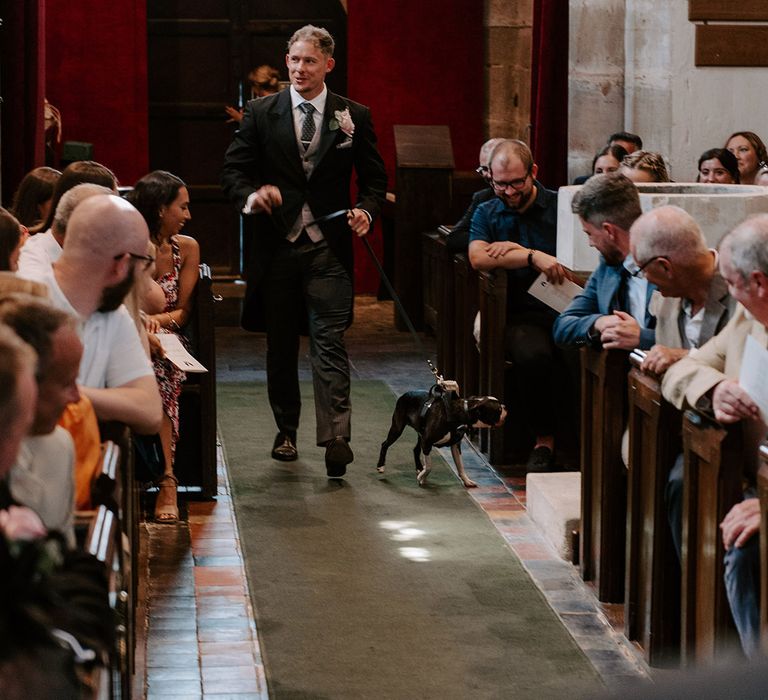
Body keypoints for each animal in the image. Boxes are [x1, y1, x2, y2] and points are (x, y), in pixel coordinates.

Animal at [376, 388, 508, 486]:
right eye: (498, 409)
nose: (505, 406)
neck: (460, 413)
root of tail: (405, 394)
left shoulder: (455, 445)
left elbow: (460, 466)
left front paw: (466, 481)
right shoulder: (427, 443)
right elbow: (429, 466)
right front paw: (422, 476)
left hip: (420, 435)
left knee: (415, 449)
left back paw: (419, 467)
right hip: (397, 428)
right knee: (385, 444)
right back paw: (380, 466)